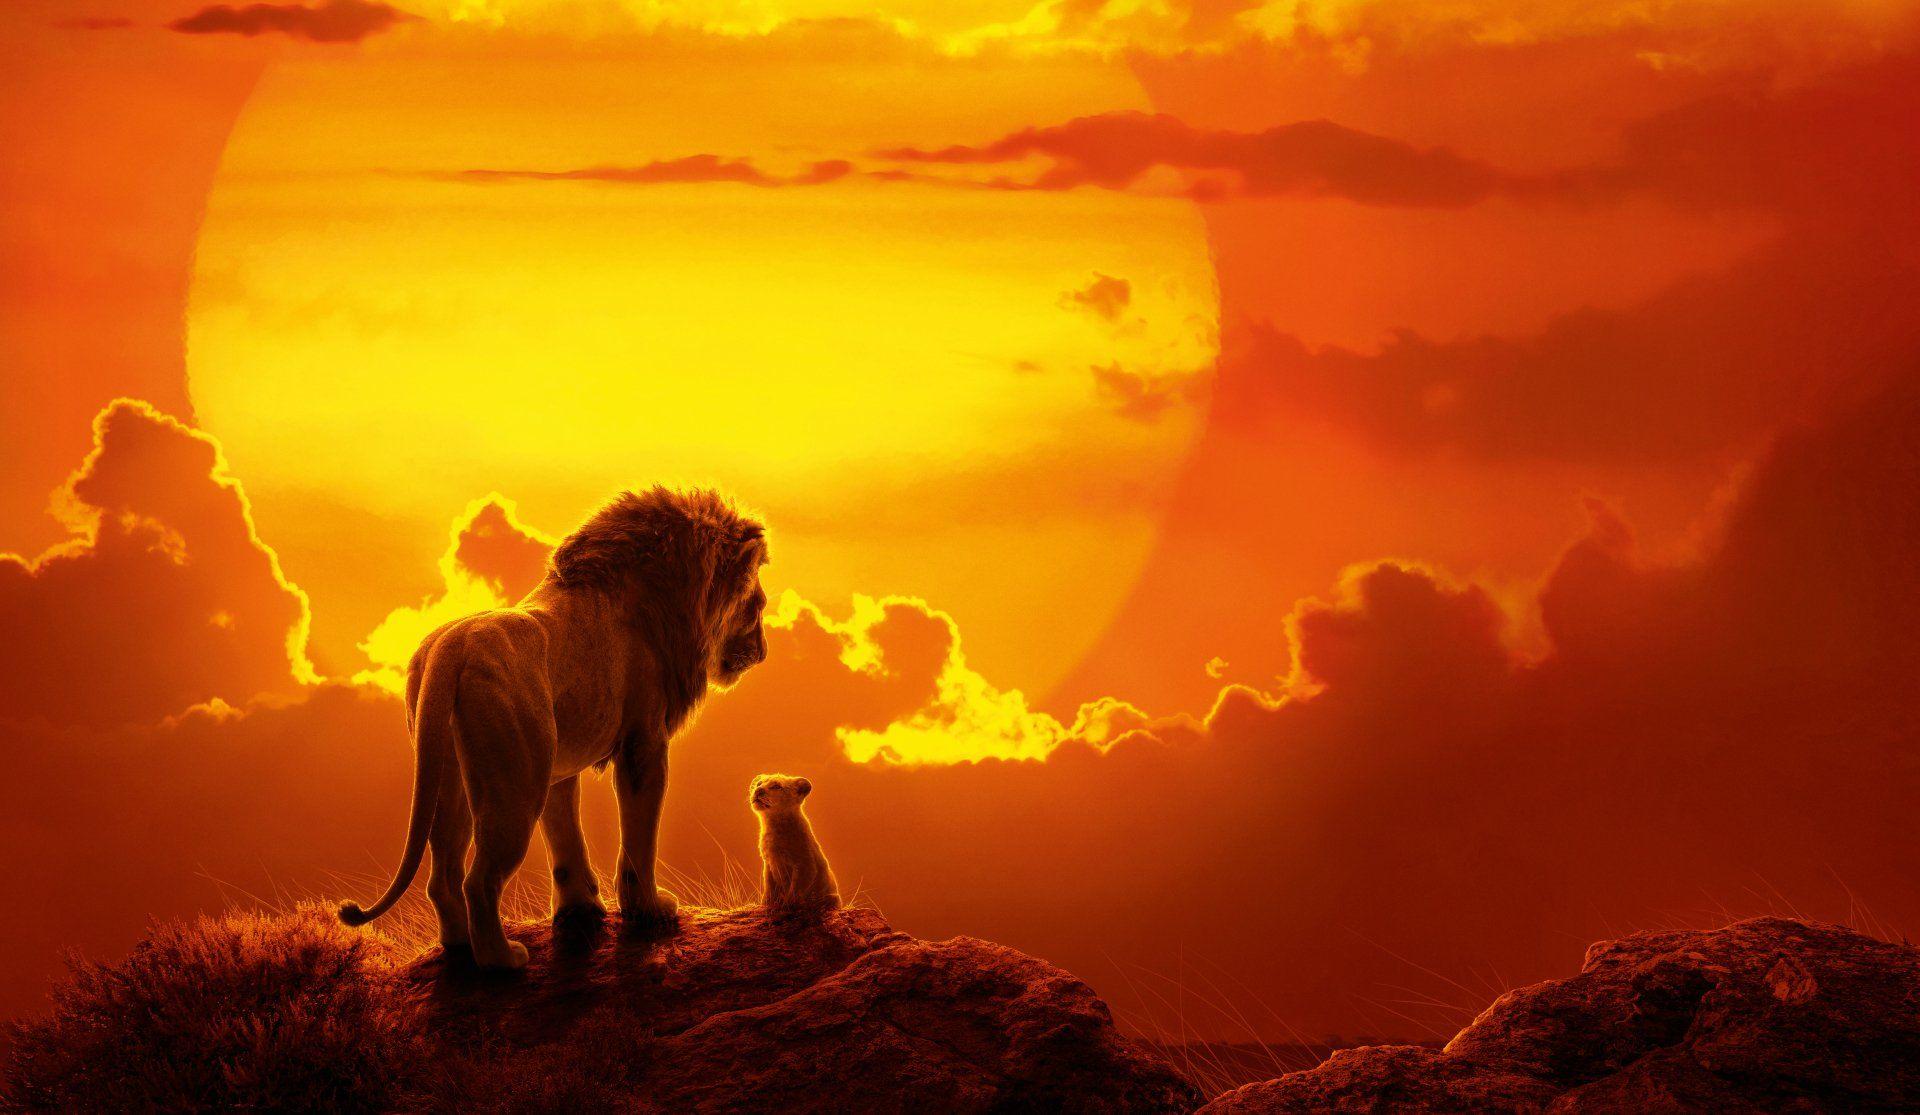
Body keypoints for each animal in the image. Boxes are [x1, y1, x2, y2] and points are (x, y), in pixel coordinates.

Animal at [339, 487, 770, 969]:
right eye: (757, 606)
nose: (763, 651)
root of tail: (450, 649)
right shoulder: (643, 743)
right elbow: (639, 838)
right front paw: (649, 910)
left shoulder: (558, 764)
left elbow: (565, 838)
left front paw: (580, 908)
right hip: (515, 785)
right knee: (479, 881)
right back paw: (502, 960)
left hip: (450, 776)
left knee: (444, 875)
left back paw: (459, 946)